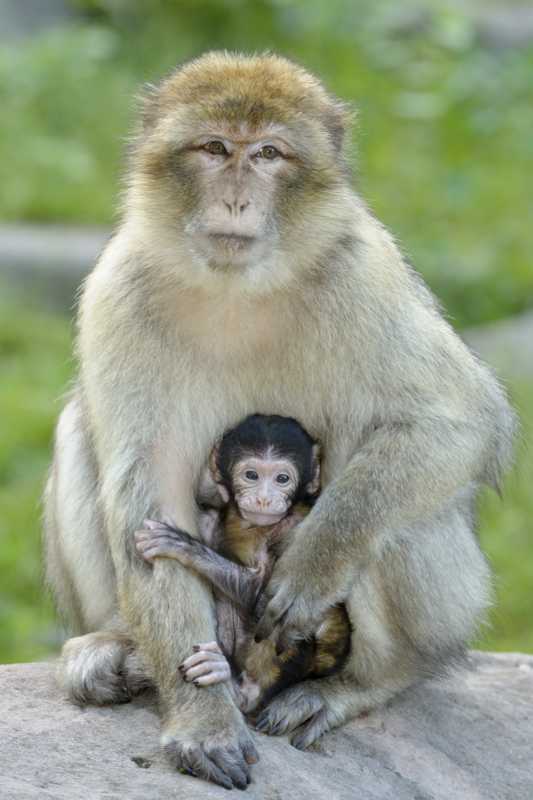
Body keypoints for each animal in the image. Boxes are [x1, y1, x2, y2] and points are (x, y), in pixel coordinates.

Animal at [133, 416, 352, 716]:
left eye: (282, 479)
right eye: (251, 475)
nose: (263, 498)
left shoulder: (297, 527)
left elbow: (270, 602)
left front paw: (183, 546)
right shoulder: (212, 520)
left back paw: (241, 691)